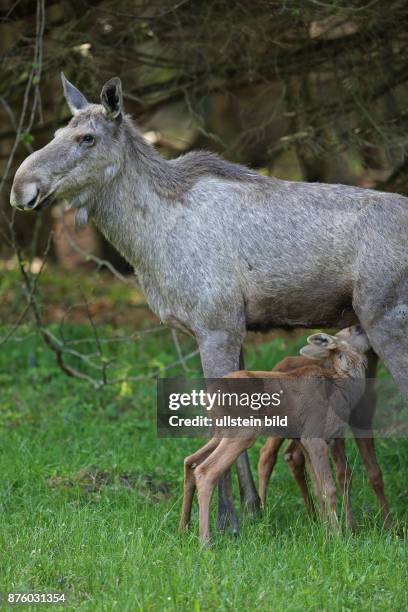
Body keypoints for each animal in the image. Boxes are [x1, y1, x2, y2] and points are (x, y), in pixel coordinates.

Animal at [9, 76, 404, 532]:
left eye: (86, 138)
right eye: (56, 132)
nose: (20, 186)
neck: (147, 245)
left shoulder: (216, 326)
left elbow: (219, 421)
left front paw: (226, 520)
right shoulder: (235, 330)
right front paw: (252, 510)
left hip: (388, 321)